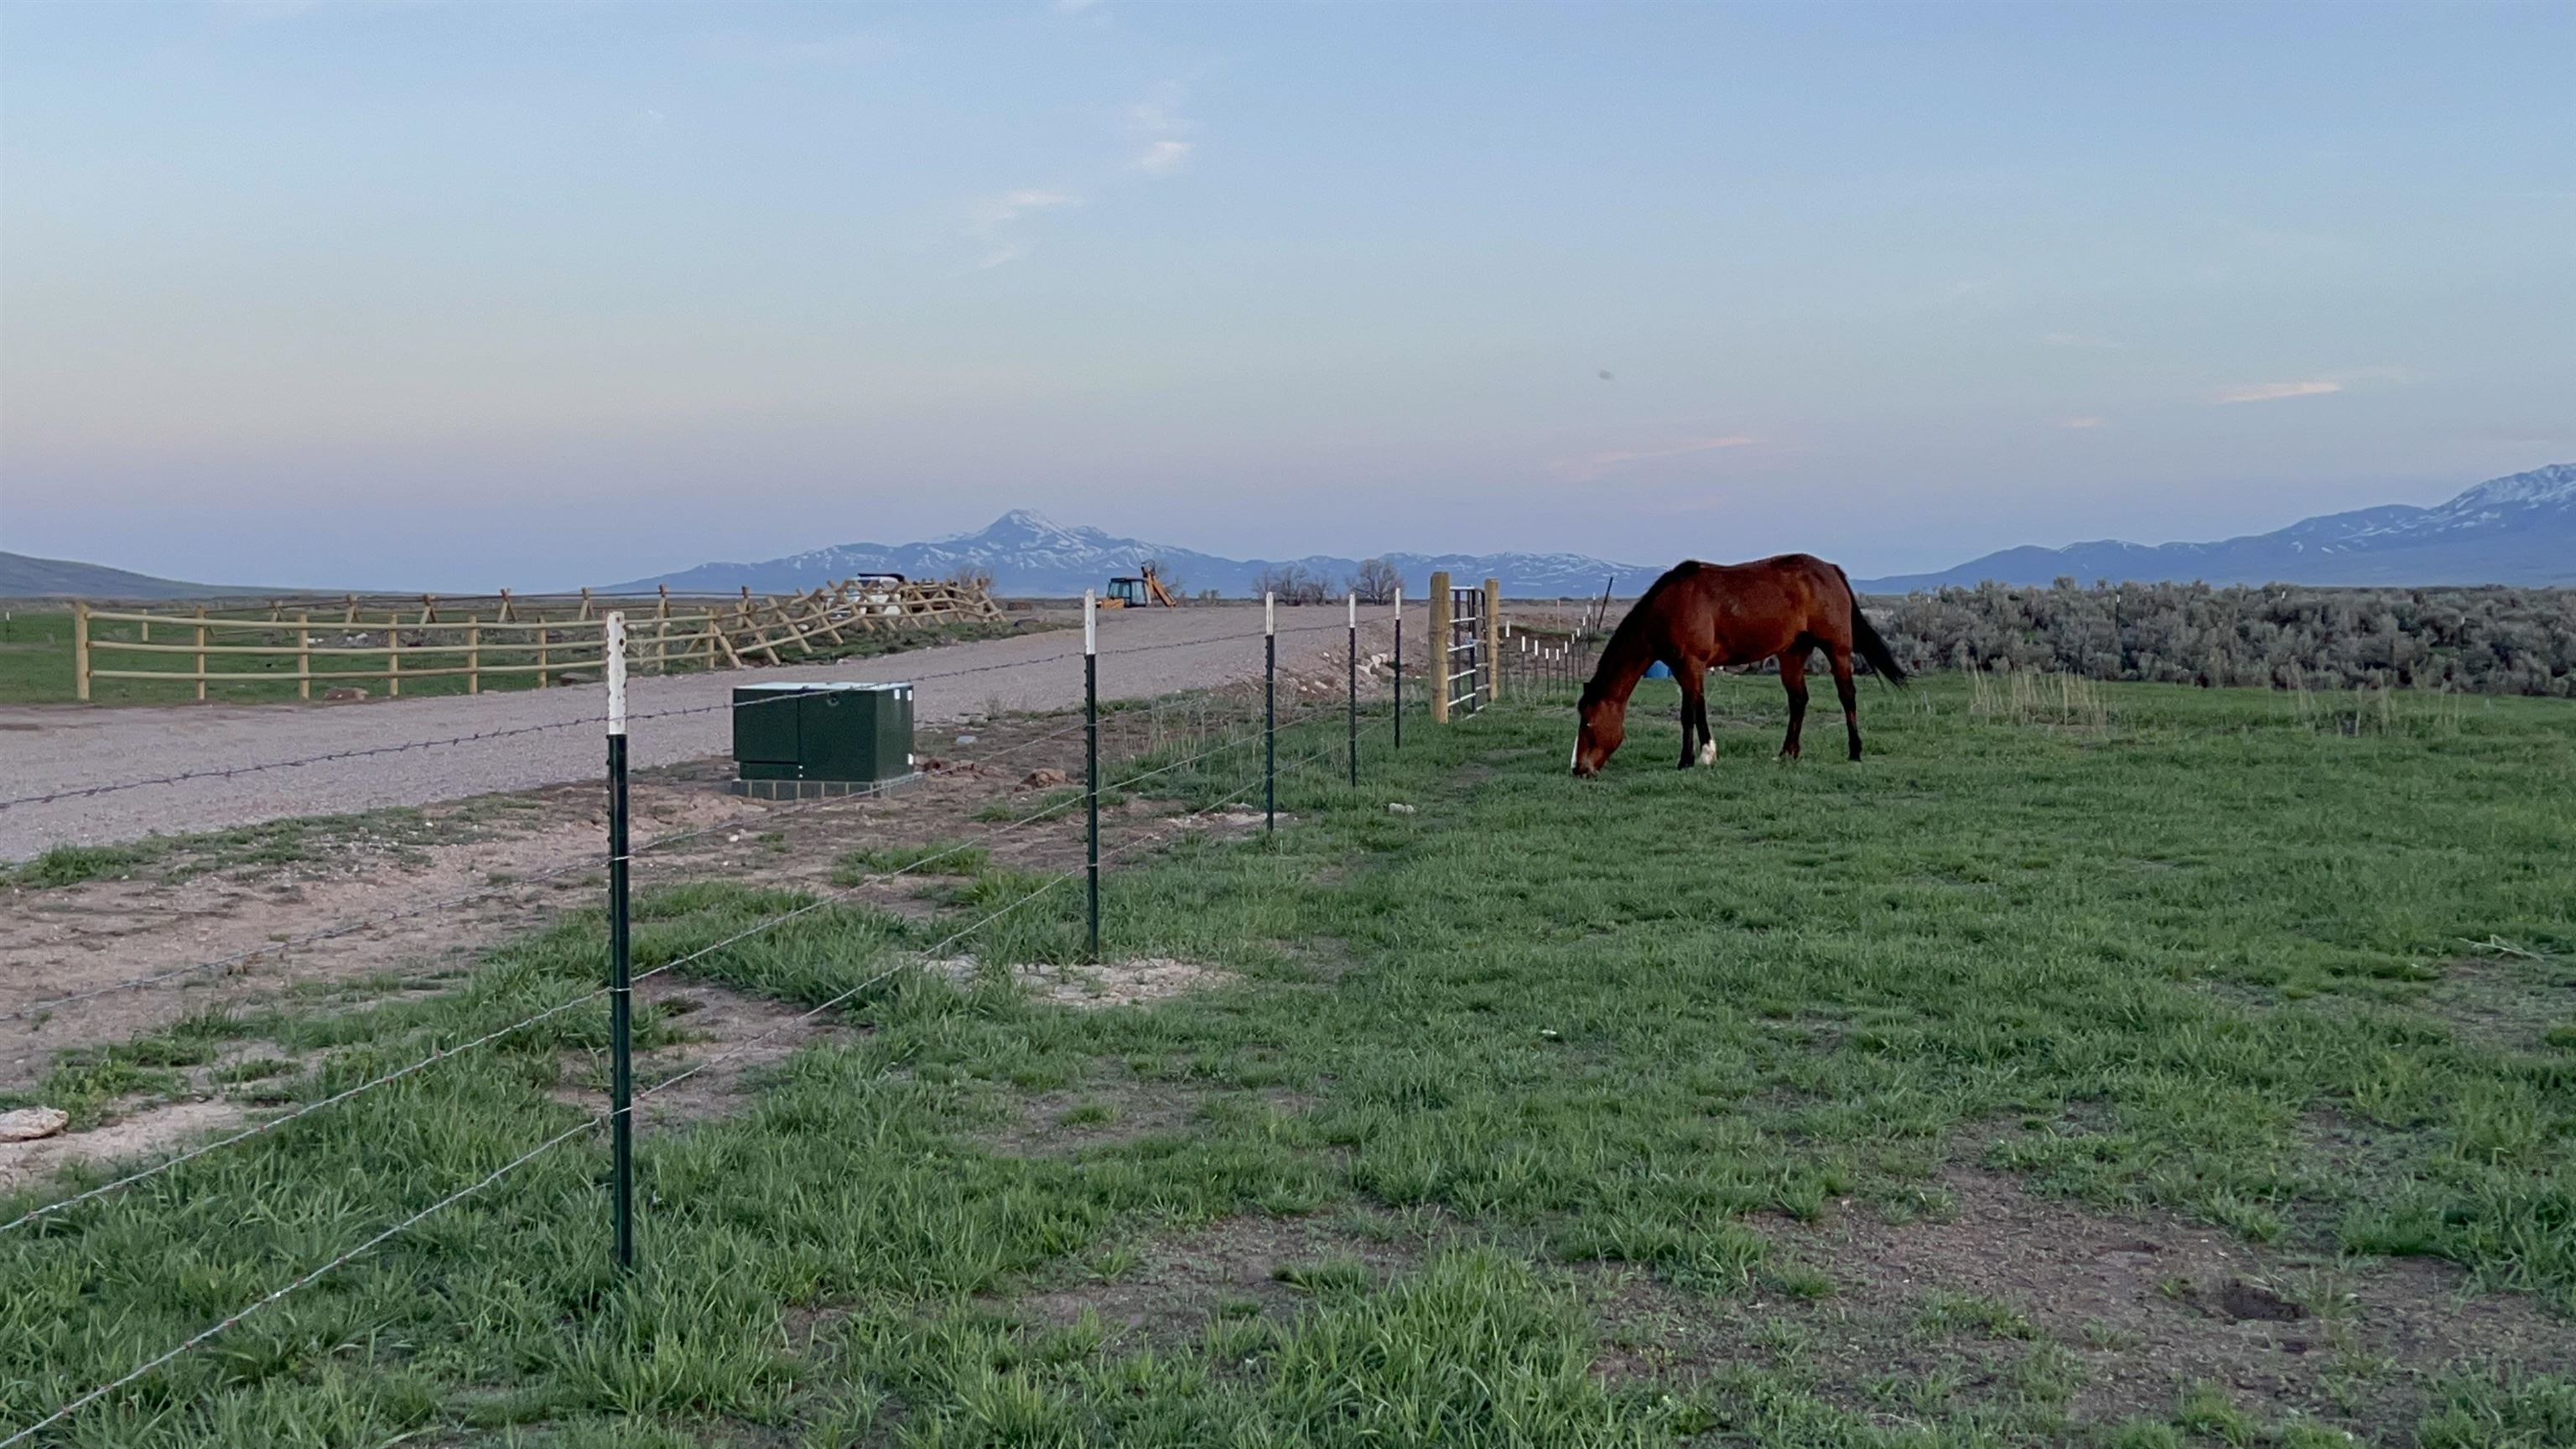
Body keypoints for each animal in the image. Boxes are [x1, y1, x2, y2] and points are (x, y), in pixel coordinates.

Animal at [1555, 551, 1906, 778]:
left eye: (1588, 722)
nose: (1578, 769)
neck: (1669, 607)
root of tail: (1832, 570)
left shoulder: (1692, 664)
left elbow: (1691, 712)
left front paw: (1695, 758)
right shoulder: (1683, 669)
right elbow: (1693, 711)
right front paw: (1697, 756)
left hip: (1838, 649)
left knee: (1847, 696)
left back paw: (1855, 751)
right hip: (1792, 653)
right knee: (1798, 700)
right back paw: (1787, 753)